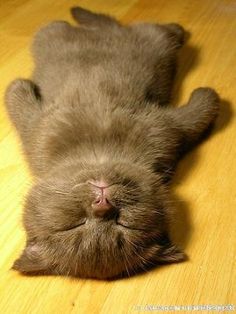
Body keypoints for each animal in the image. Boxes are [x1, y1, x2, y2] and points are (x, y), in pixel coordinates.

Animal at [5, 6, 219, 278]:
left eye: (124, 223)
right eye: (75, 225)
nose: (102, 205)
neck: (101, 152)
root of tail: (107, 31)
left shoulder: (167, 132)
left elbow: (202, 110)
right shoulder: (170, 126)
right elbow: (202, 107)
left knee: (161, 30)